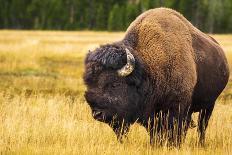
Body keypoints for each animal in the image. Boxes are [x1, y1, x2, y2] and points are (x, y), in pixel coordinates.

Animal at [82, 8, 229, 147]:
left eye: (115, 84)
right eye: (89, 84)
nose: (97, 114)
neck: (148, 68)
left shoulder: (177, 109)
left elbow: (176, 131)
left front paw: (174, 145)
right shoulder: (151, 115)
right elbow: (155, 133)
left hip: (209, 105)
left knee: (202, 126)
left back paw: (200, 143)